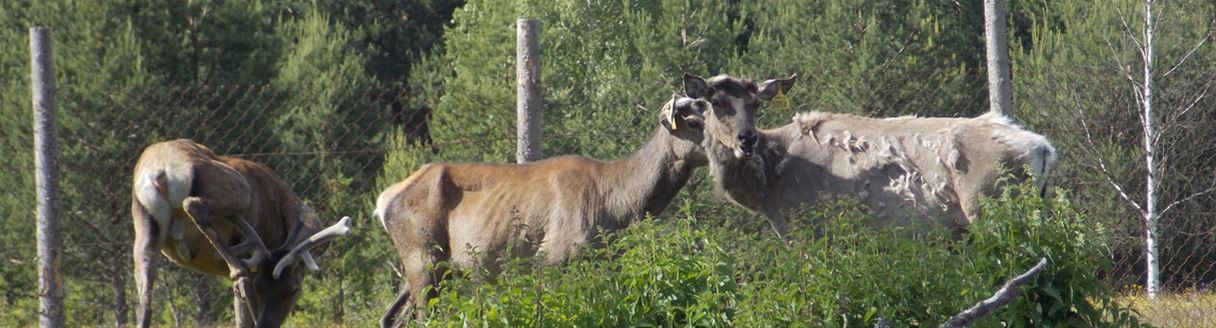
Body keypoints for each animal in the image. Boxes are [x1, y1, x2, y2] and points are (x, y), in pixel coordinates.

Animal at [131, 139, 352, 328]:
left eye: (293, 290)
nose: (266, 324)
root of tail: (162, 171)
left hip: (145, 223)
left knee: (144, 299)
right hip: (241, 190)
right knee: (195, 207)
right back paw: (239, 270)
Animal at [374, 94, 710, 325]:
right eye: (693, 123)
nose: (727, 145)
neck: (616, 205)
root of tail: (383, 201)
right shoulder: (552, 258)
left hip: (426, 266)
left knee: (391, 317)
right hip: (423, 257)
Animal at [685, 73, 1055, 238]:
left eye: (755, 104)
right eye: (716, 102)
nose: (746, 139)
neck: (768, 191)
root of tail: (1043, 149)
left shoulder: (809, 225)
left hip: (990, 208)